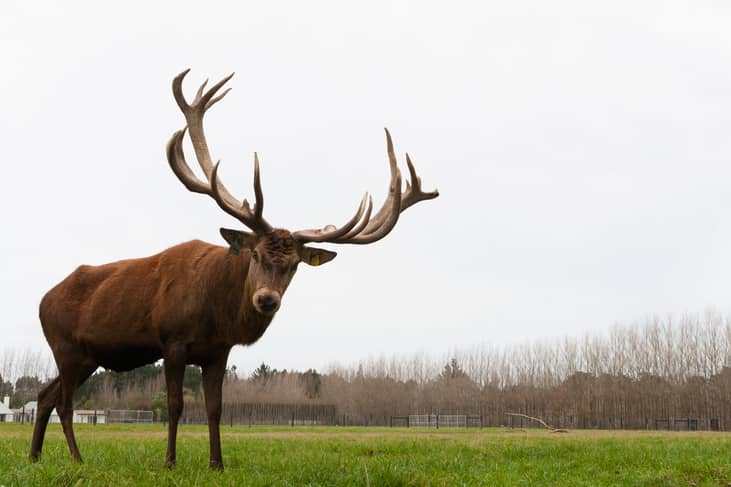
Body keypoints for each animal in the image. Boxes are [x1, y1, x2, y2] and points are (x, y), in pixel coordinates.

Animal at [30, 69, 438, 470]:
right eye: (254, 254)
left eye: (294, 266)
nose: (267, 299)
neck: (214, 309)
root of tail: (43, 300)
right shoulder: (172, 340)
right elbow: (176, 405)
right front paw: (170, 462)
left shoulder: (218, 351)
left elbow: (215, 408)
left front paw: (217, 463)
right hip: (65, 345)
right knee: (63, 403)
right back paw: (77, 458)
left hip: (87, 356)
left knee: (46, 395)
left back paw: (36, 456)